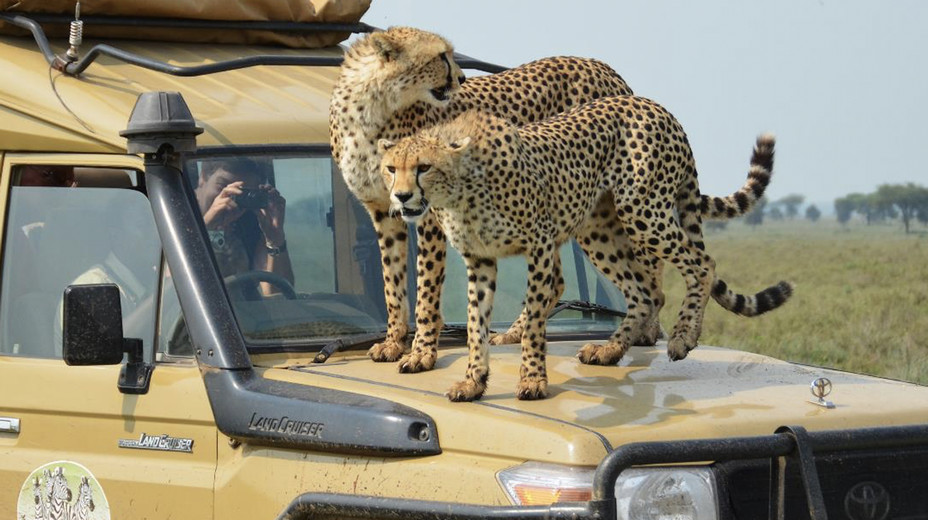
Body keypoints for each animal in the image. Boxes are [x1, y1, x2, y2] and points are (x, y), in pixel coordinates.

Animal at [330, 26, 772, 374]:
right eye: (441, 56)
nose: (461, 77)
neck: (371, 105)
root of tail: (609, 71)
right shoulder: (385, 211)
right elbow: (392, 282)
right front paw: (393, 342)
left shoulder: (429, 216)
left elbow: (425, 287)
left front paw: (421, 353)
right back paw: (541, 334)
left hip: (631, 204)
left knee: (681, 265)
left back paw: (666, 336)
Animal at [376, 98, 792, 402]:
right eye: (391, 168)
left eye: (423, 167)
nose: (401, 196)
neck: (461, 187)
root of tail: (654, 105)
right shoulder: (480, 260)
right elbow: (476, 325)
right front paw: (474, 381)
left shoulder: (540, 245)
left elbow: (535, 322)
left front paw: (533, 380)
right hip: (598, 230)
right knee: (646, 291)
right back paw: (610, 350)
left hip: (643, 211)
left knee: (702, 262)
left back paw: (682, 337)